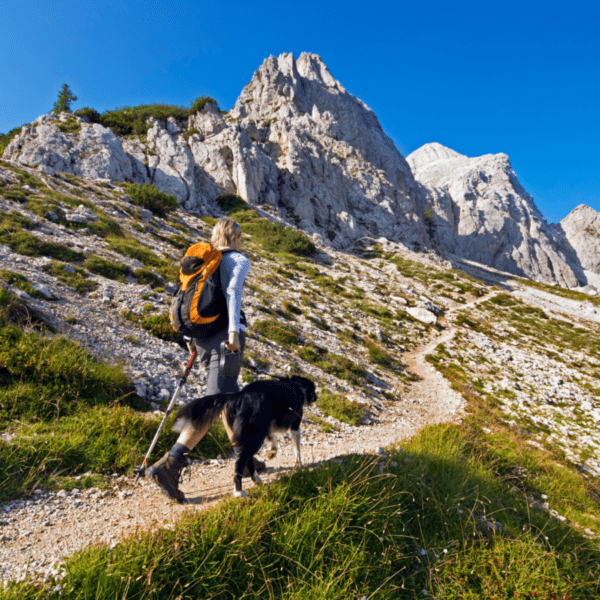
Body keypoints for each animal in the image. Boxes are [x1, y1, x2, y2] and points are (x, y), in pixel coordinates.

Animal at [171, 378, 316, 500]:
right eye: (314, 390)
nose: (317, 397)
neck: (298, 385)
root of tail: (238, 396)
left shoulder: (268, 426)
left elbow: (273, 439)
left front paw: (272, 452)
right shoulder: (295, 426)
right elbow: (297, 448)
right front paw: (299, 464)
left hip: (251, 433)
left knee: (247, 458)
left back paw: (256, 479)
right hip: (255, 436)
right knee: (241, 461)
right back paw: (238, 491)